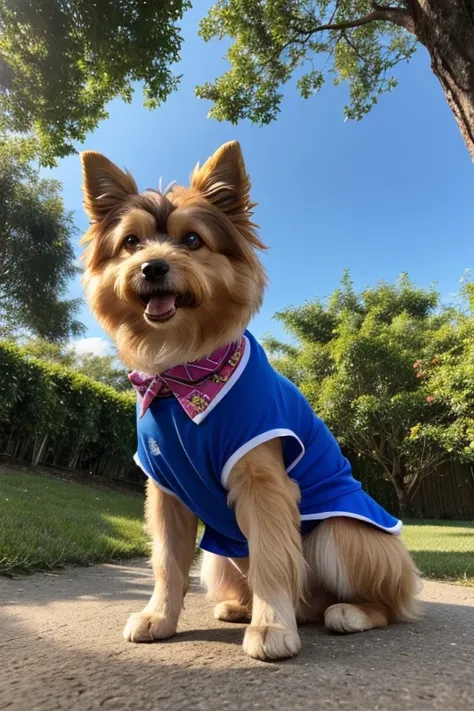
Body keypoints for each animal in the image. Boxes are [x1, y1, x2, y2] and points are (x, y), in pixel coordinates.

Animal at [79, 143, 420, 660]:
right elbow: (167, 563)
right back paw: (240, 608)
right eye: (132, 242)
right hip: (217, 555)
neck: (184, 374)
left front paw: (272, 628)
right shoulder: (166, 490)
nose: (152, 267)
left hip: (342, 534)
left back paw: (346, 613)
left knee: (385, 604)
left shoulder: (264, 483)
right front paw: (160, 617)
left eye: (193, 240)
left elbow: (273, 560)